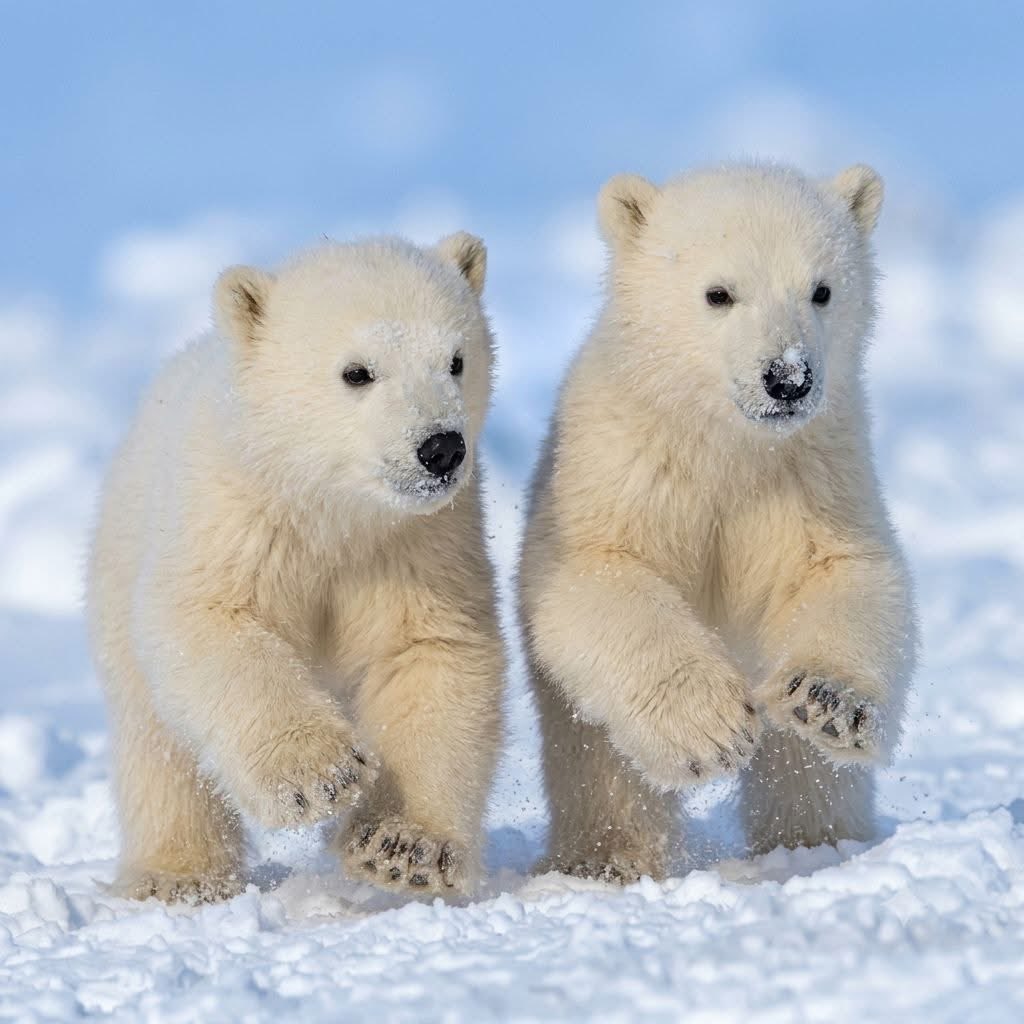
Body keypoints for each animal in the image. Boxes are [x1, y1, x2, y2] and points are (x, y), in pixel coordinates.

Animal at [87, 233, 505, 903]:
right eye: (357, 371)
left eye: (456, 360)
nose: (440, 448)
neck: (329, 512)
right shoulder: (236, 520)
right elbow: (207, 622)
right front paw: (323, 774)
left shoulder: (420, 545)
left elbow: (430, 652)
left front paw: (402, 847)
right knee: (157, 743)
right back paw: (178, 875)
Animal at [518, 163, 918, 881]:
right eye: (719, 293)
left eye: (822, 289)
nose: (787, 378)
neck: (728, 450)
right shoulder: (625, 474)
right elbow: (595, 580)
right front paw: (714, 728)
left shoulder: (813, 480)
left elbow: (848, 572)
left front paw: (827, 703)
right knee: (603, 768)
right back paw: (610, 859)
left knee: (802, 774)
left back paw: (815, 844)